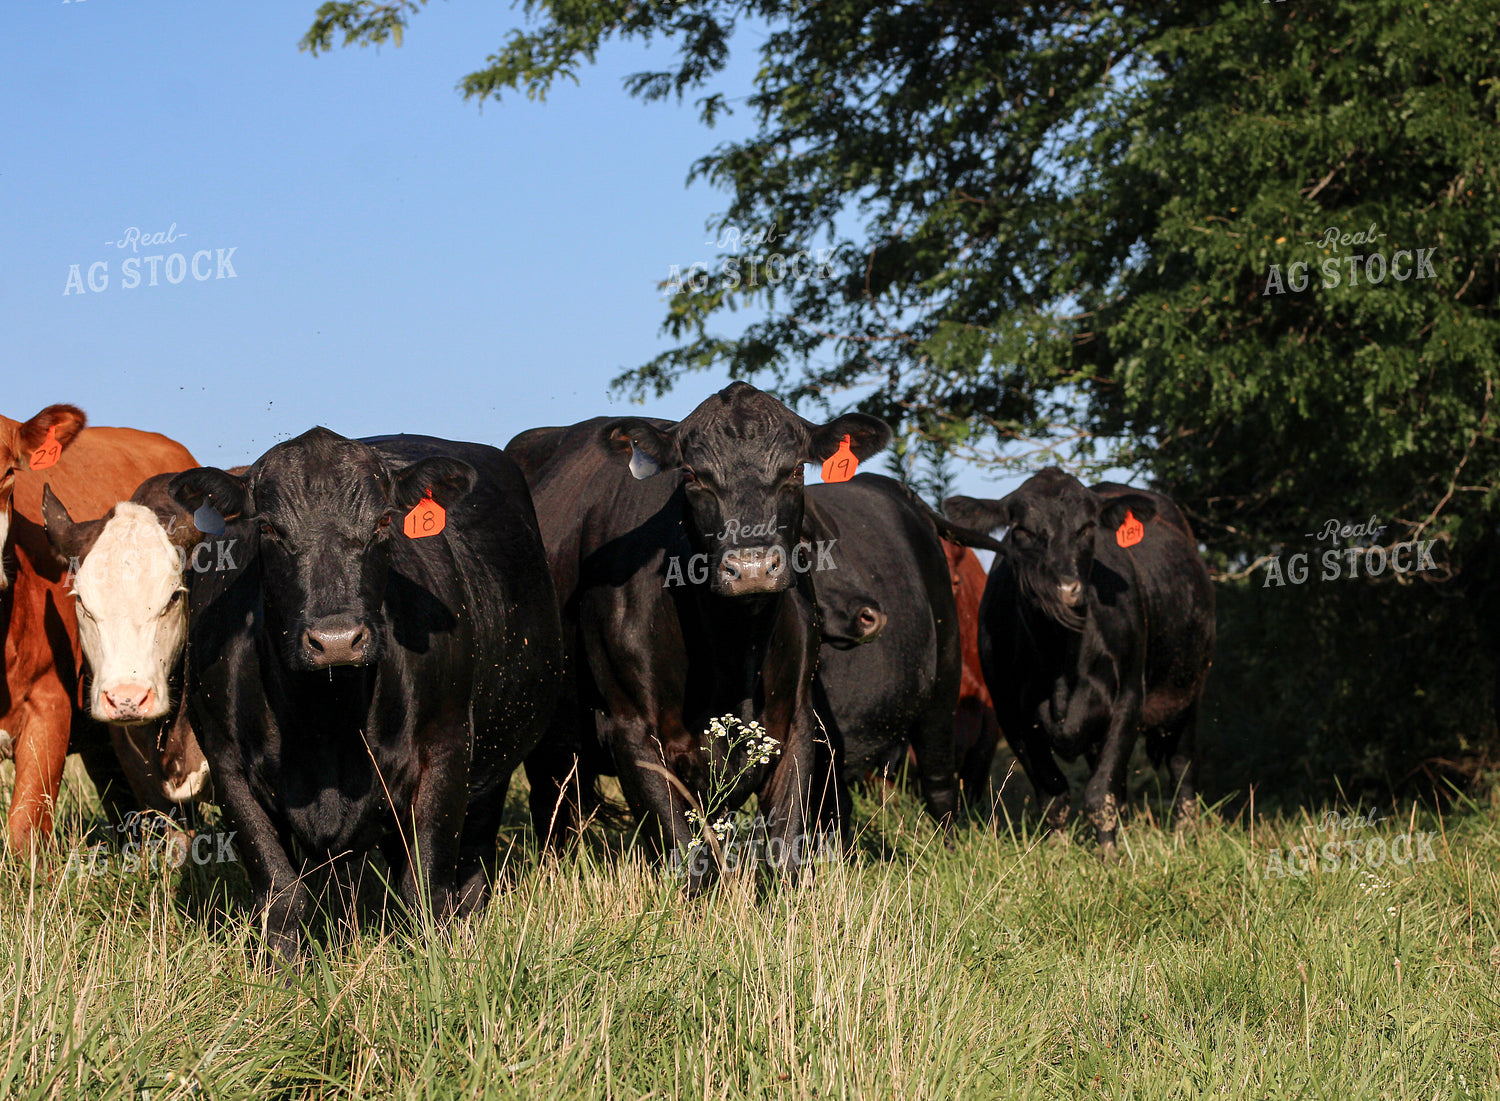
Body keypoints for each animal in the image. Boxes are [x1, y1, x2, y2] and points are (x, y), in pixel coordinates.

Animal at [165, 428, 565, 963]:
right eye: (268, 528)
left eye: (382, 523)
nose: (336, 640)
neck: (327, 722)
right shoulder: (227, 765)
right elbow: (281, 894)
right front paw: (283, 973)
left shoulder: (446, 748)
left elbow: (427, 883)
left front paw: (438, 966)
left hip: (493, 761)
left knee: (473, 859)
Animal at [507, 381, 890, 888]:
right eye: (692, 475)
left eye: (794, 470)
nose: (751, 567)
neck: (733, 651)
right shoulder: (632, 728)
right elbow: (688, 857)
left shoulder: (796, 722)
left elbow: (786, 850)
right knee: (554, 816)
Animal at [945, 468, 1215, 853]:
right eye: (1021, 531)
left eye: (1087, 528)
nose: (1065, 589)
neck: (1060, 663)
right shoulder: (1012, 715)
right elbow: (1054, 794)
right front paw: (1058, 851)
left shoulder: (1129, 699)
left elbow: (1101, 792)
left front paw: (1109, 855)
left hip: (1189, 689)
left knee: (1181, 766)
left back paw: (1186, 832)